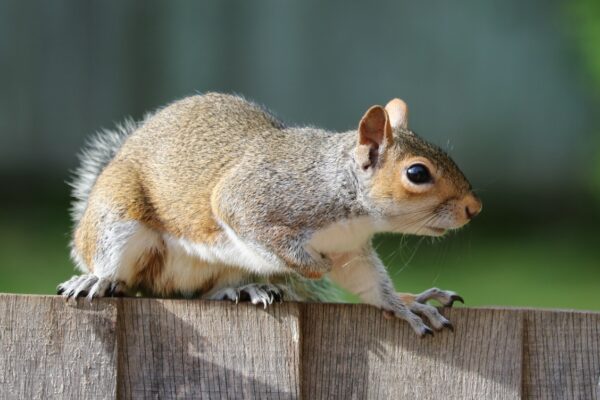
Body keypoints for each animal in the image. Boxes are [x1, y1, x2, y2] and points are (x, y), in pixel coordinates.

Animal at [59, 92, 482, 336]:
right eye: (417, 173)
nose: (473, 208)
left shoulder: (350, 249)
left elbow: (369, 284)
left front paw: (406, 305)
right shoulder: (253, 199)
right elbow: (255, 227)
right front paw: (312, 266)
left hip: (220, 269)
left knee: (203, 292)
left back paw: (243, 289)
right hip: (117, 218)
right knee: (118, 270)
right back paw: (97, 280)